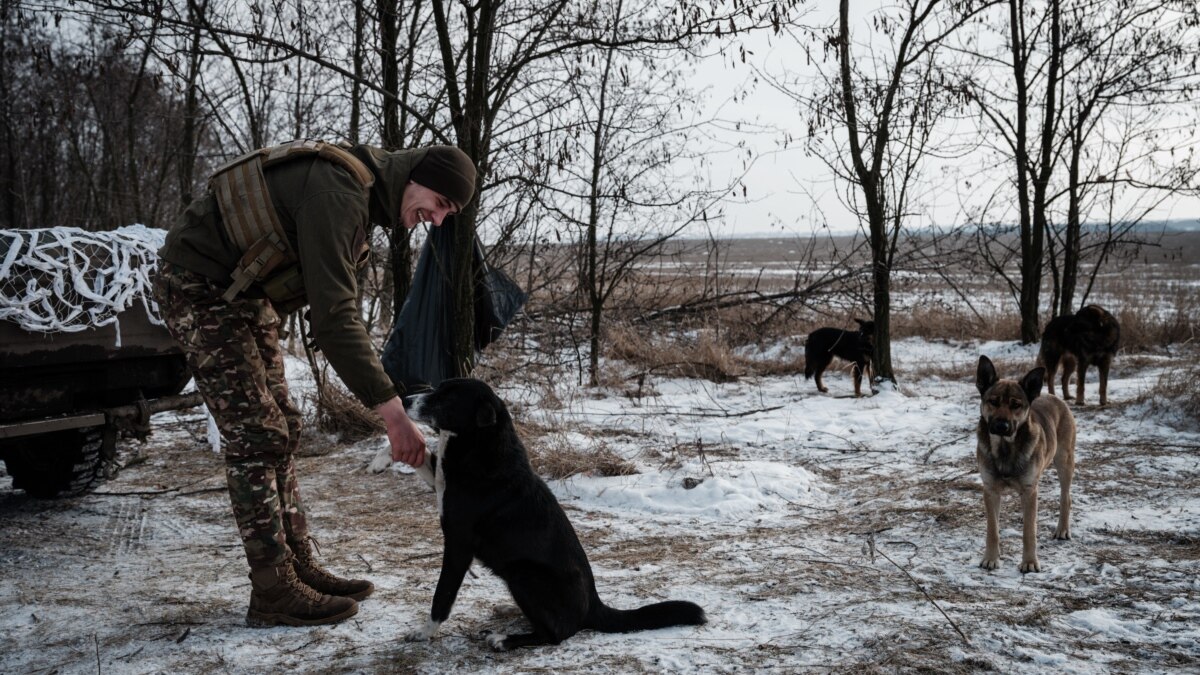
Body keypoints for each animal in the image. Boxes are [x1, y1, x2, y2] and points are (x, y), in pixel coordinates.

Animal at [403, 374, 700, 648]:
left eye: (448, 398)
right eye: (439, 388)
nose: (405, 400)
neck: (481, 445)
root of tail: (594, 606)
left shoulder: (458, 544)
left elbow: (442, 595)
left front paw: (424, 632)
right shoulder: (440, 481)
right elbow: (423, 461)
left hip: (523, 574)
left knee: (556, 634)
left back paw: (505, 640)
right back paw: (511, 611)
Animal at [974, 355, 1080, 569]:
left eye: (1016, 405)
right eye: (993, 402)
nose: (1001, 425)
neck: (1005, 448)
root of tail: (1053, 396)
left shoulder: (1030, 489)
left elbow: (1029, 532)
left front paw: (1030, 562)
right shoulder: (991, 490)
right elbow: (992, 530)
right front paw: (991, 558)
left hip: (1064, 462)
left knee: (1066, 497)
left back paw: (1062, 529)